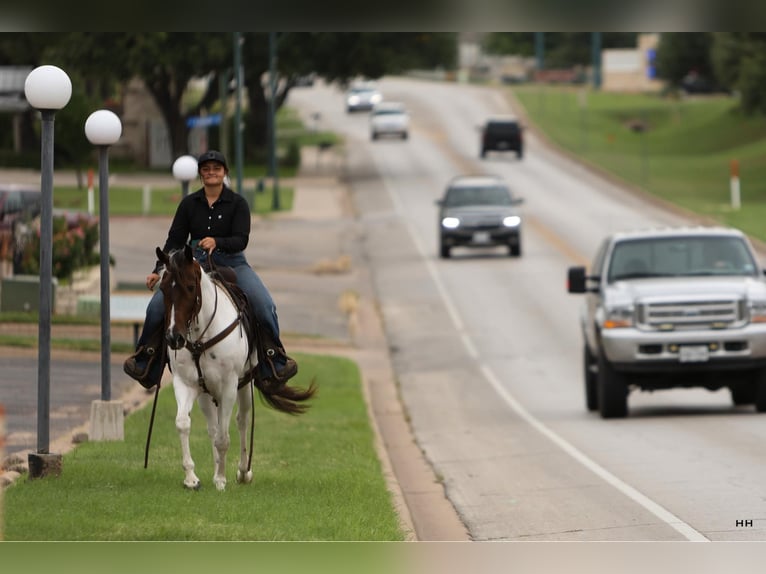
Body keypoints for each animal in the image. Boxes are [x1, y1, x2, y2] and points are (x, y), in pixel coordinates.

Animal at [156, 244, 316, 491]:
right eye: (163, 289)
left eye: (190, 287)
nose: (174, 338)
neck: (201, 338)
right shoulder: (185, 384)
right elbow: (184, 424)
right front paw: (192, 477)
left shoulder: (229, 386)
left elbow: (224, 437)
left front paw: (222, 480)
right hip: (205, 394)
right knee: (213, 428)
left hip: (244, 387)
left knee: (241, 421)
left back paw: (243, 472)